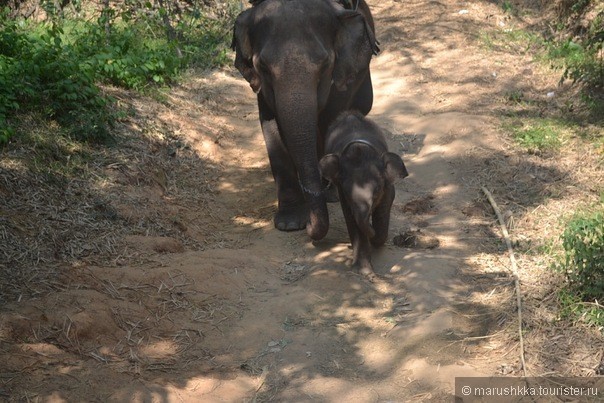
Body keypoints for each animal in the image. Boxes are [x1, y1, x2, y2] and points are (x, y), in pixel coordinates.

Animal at [231, 0, 378, 240]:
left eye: (325, 64)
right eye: (263, 67)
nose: (310, 225)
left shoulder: (342, 75)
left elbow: (330, 120)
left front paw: (330, 192)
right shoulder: (263, 90)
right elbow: (271, 127)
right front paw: (290, 223)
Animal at [318, 112, 408, 280]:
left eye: (377, 189)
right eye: (347, 191)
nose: (371, 229)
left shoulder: (387, 186)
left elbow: (385, 205)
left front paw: (376, 238)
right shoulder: (343, 193)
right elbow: (352, 219)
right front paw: (364, 271)